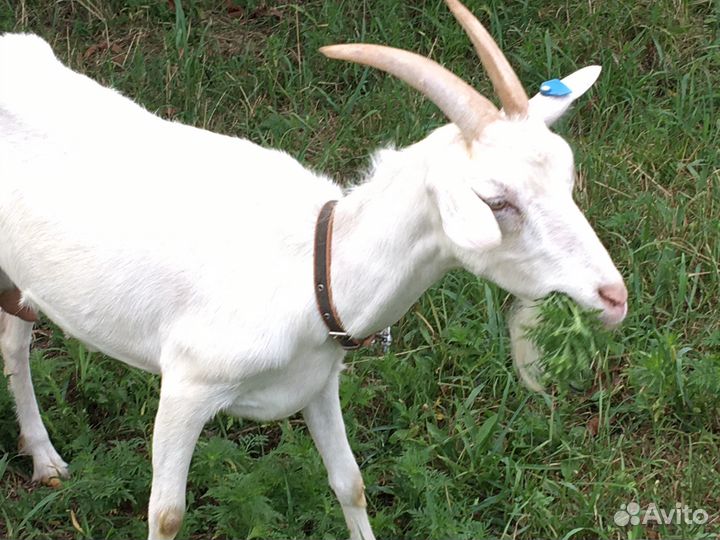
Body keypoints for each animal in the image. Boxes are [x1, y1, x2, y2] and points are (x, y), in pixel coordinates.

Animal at [0, 1, 628, 538]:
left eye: (567, 174)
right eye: (497, 202)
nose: (614, 295)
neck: (316, 268)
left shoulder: (320, 380)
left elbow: (350, 483)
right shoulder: (187, 384)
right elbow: (168, 515)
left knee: (13, 337)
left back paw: (44, 458)